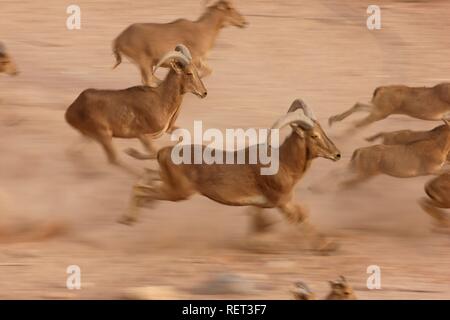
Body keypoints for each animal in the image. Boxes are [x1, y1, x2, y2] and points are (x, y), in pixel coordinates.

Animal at [64, 45, 206, 172]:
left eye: (196, 71)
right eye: (189, 73)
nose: (204, 93)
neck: (161, 98)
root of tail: (71, 109)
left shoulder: (167, 129)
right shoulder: (142, 135)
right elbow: (154, 153)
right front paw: (132, 152)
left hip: (90, 136)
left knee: (74, 152)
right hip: (103, 134)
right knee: (114, 159)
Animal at [111, 0, 248, 86]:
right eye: (230, 8)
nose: (244, 22)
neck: (203, 30)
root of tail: (119, 39)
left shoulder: (200, 61)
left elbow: (209, 71)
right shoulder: (194, 60)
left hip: (147, 64)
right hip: (143, 61)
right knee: (148, 80)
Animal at [119, 100, 342, 252]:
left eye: (322, 130)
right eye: (314, 135)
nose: (337, 154)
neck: (283, 161)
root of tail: (163, 152)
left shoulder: (266, 204)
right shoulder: (281, 200)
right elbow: (301, 216)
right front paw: (327, 245)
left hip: (169, 183)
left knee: (145, 178)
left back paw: (132, 215)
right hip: (177, 192)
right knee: (141, 189)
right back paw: (128, 219)